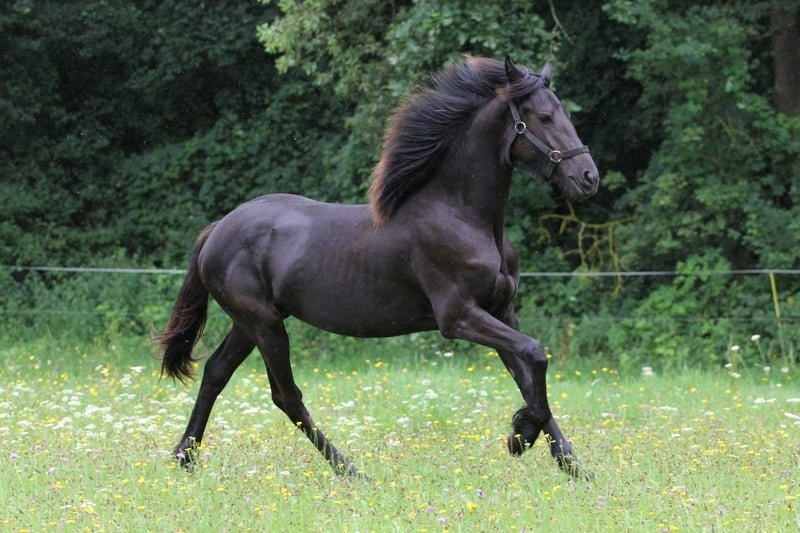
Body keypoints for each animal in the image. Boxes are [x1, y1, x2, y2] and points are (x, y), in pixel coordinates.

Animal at [158, 56, 599, 479]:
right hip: (264, 324)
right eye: (544, 117)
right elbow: (536, 355)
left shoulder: (502, 311)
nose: (588, 177)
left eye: (564, 113)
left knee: (215, 373)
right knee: (286, 396)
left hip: (248, 323)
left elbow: (527, 376)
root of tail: (217, 230)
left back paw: (186, 458)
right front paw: (520, 437)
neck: (462, 215)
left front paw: (574, 467)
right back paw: (351, 470)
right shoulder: (459, 317)